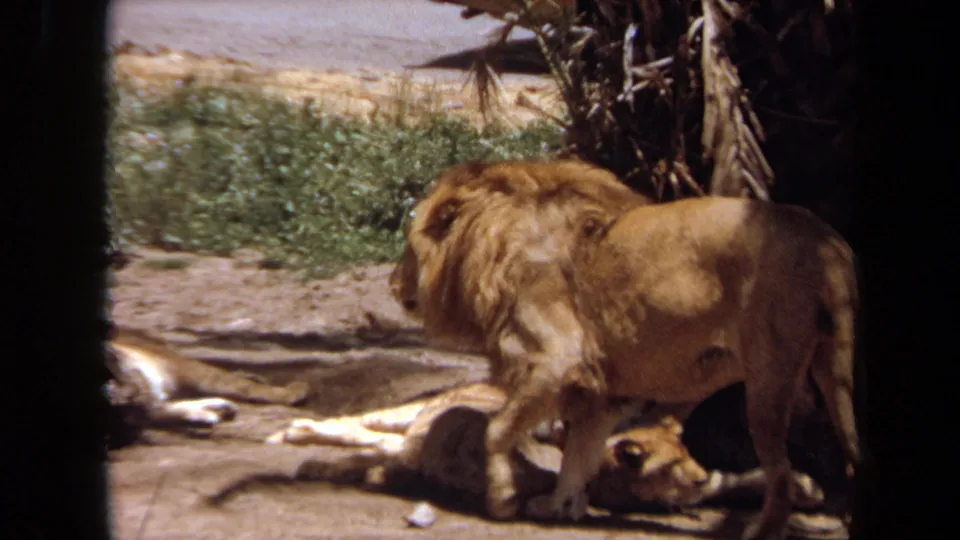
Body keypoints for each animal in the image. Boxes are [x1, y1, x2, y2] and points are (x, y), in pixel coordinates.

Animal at [105, 326, 310, 437]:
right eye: (118, 411)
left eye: (119, 382)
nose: (130, 401)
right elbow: (167, 411)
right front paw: (209, 412)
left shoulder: (185, 367)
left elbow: (238, 383)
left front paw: (292, 391)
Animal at [390, 160, 860, 540]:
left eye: (408, 249)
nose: (393, 285)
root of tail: (827, 243)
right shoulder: (600, 389)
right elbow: (580, 452)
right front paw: (562, 506)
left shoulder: (558, 359)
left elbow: (498, 429)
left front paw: (502, 500)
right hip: (834, 370)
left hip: (768, 379)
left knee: (780, 476)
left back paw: (762, 530)